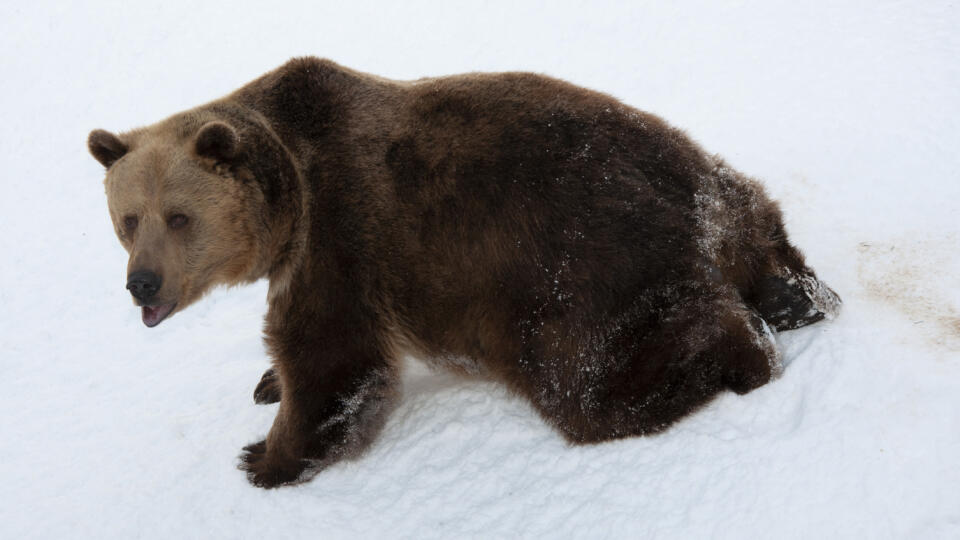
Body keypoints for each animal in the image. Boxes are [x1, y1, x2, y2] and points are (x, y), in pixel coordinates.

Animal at [90, 57, 840, 488]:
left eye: (179, 216)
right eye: (127, 219)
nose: (141, 283)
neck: (286, 204)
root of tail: (706, 218)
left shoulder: (340, 237)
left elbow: (333, 360)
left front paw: (263, 458)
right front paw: (266, 386)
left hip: (573, 275)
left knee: (593, 381)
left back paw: (740, 349)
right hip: (722, 188)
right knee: (768, 234)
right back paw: (793, 297)